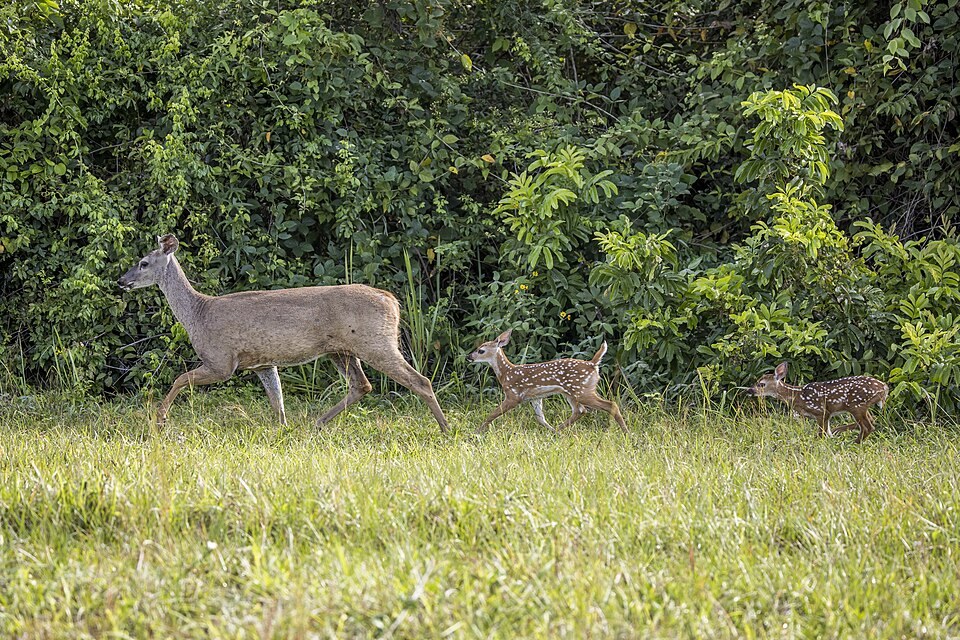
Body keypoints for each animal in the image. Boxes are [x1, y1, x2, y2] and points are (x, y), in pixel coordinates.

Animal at [117, 234, 449, 432]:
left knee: (419, 381)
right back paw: (317, 423)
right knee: (362, 385)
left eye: (143, 262)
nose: (122, 281)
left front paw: (159, 420)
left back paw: (445, 429)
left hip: (375, 342)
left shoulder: (222, 361)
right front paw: (282, 429)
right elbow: (277, 400)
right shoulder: (262, 362)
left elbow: (180, 378)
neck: (198, 313)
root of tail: (391, 299)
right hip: (341, 350)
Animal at [467, 329, 627, 433]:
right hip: (571, 392)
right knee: (580, 411)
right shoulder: (535, 398)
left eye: (481, 350)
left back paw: (627, 434)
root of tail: (593, 364)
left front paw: (476, 432)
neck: (506, 373)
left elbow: (492, 414)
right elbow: (540, 418)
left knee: (610, 405)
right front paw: (549, 430)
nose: (469, 357)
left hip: (582, 390)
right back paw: (556, 431)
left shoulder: (513, 395)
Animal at [746, 362, 888, 443]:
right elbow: (826, 432)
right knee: (872, 420)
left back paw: (853, 442)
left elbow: (821, 434)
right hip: (862, 407)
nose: (749, 390)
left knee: (868, 427)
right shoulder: (826, 414)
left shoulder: (821, 411)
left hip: (857, 405)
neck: (797, 395)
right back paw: (840, 432)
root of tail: (884, 388)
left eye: (761, 384)